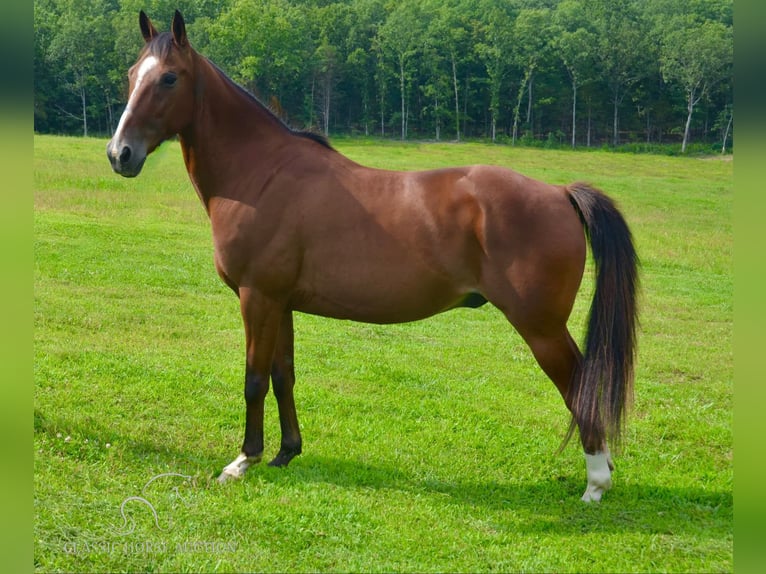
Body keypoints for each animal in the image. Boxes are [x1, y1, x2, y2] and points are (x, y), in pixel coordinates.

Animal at [105, 10, 640, 504]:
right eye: (132, 74)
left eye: (169, 77)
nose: (119, 154)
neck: (261, 174)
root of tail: (559, 193)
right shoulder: (280, 302)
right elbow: (283, 375)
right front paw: (286, 452)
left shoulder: (256, 298)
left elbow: (254, 379)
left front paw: (243, 460)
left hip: (541, 327)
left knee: (579, 385)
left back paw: (596, 483)